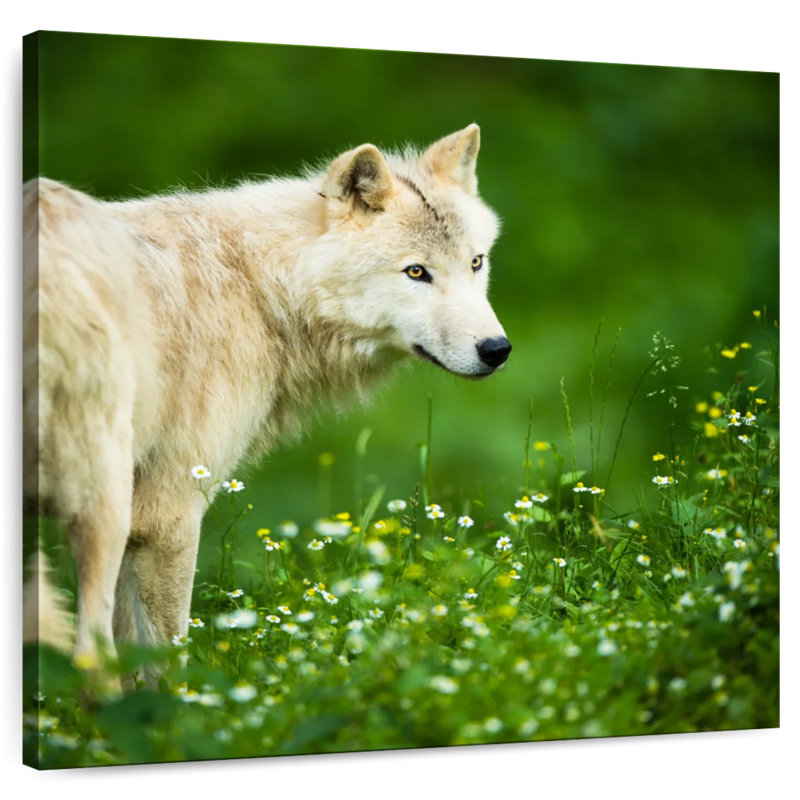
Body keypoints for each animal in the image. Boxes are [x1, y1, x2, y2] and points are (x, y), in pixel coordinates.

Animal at [23, 124, 511, 674]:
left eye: (476, 262)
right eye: (416, 273)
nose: (497, 350)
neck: (261, 289)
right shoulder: (167, 516)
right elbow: (163, 664)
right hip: (102, 512)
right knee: (91, 655)